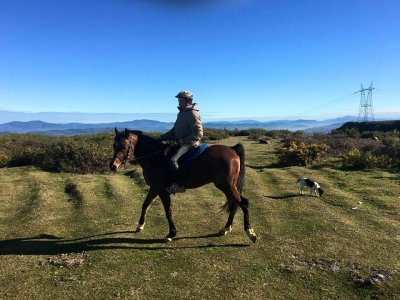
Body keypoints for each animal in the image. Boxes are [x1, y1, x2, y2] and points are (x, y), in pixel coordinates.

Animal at [108, 127, 256, 243]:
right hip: (228, 186)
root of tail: (232, 150)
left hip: (226, 185)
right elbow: (145, 205)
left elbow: (168, 210)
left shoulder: (162, 190)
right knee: (235, 203)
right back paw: (226, 228)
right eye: (114, 145)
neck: (155, 158)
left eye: (123, 146)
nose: (113, 166)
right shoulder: (154, 188)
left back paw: (250, 232)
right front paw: (140, 225)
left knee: (243, 202)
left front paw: (171, 234)